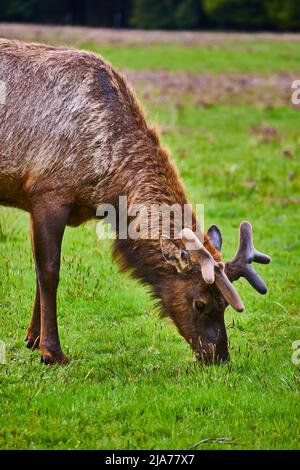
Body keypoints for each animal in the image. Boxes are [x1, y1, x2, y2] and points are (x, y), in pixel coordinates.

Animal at [0, 38, 270, 366]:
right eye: (200, 303)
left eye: (226, 305)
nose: (218, 355)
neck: (104, 185)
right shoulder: (49, 193)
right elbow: (49, 273)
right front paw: (52, 352)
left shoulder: (37, 202)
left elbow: (40, 276)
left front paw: (32, 338)